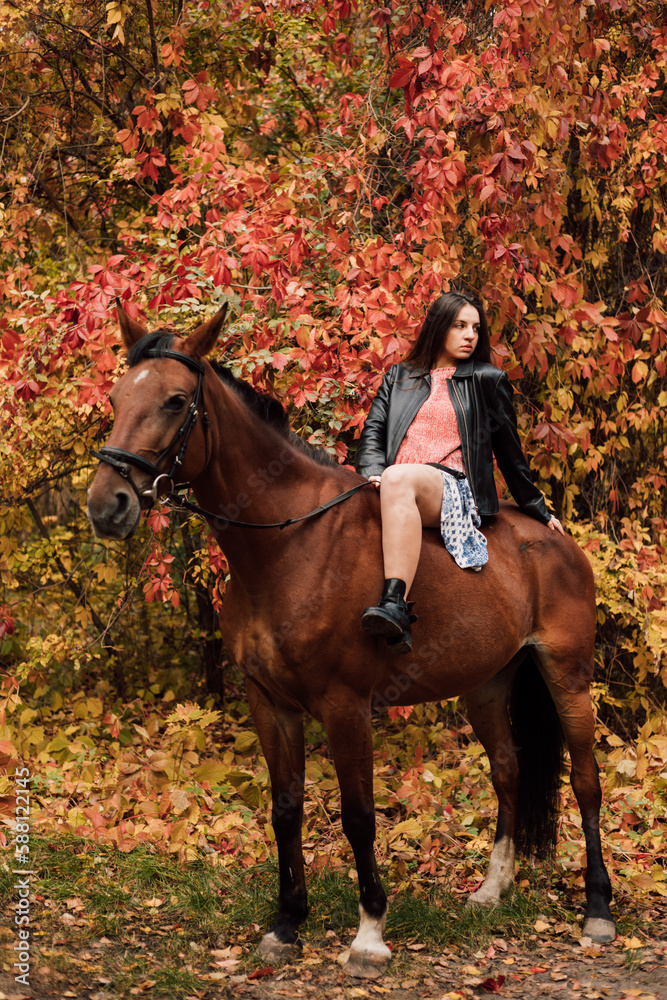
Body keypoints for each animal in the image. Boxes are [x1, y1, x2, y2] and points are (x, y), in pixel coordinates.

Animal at [87, 310, 616, 976]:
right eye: (115, 399)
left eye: (176, 401)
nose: (107, 506)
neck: (288, 545)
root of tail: (555, 539)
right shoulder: (270, 703)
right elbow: (285, 809)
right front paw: (286, 924)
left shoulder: (345, 706)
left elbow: (359, 816)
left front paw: (369, 935)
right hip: (488, 686)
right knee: (508, 771)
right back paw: (493, 889)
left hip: (567, 675)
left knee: (586, 782)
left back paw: (597, 911)